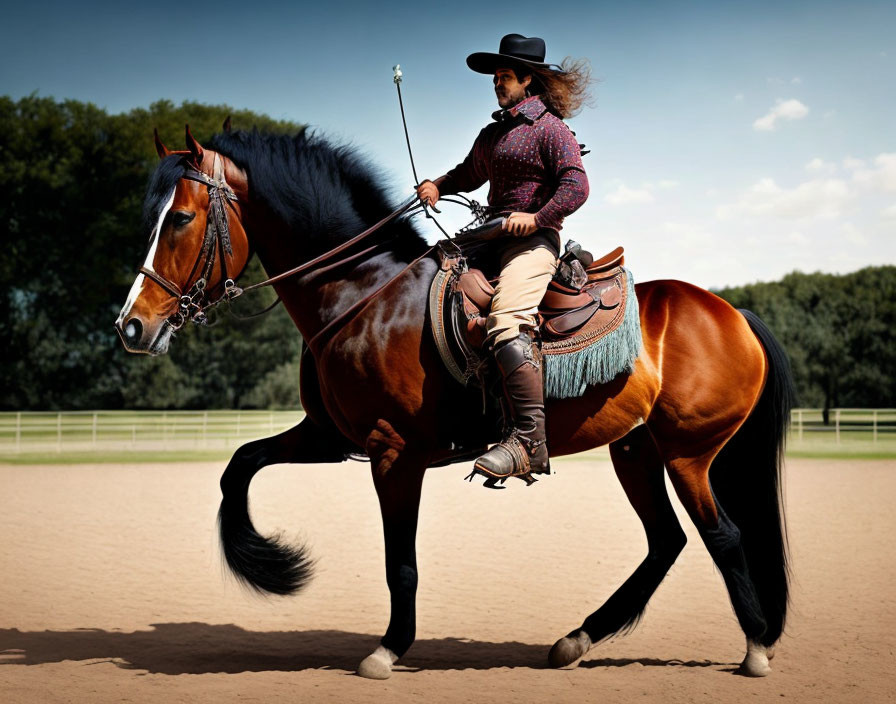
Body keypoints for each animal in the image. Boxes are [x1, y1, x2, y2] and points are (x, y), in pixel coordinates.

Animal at [115, 124, 796, 680]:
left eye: (180, 219)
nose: (132, 326)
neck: (364, 294)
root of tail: (734, 313)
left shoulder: (394, 452)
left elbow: (401, 562)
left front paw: (388, 649)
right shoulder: (330, 435)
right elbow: (238, 468)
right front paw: (272, 564)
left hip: (687, 455)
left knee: (723, 536)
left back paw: (756, 648)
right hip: (636, 450)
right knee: (666, 543)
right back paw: (576, 640)